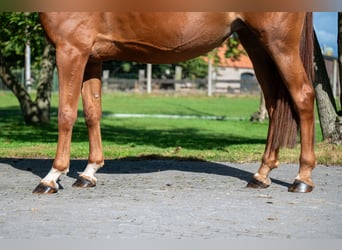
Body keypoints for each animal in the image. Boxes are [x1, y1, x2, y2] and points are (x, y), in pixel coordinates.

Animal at [33, 12, 316, 194]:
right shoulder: (92, 57)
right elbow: (93, 113)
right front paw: (89, 173)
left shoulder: (71, 50)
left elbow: (66, 114)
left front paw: (51, 177)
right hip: (255, 42)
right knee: (274, 105)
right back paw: (261, 175)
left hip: (279, 43)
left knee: (303, 96)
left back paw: (302, 178)